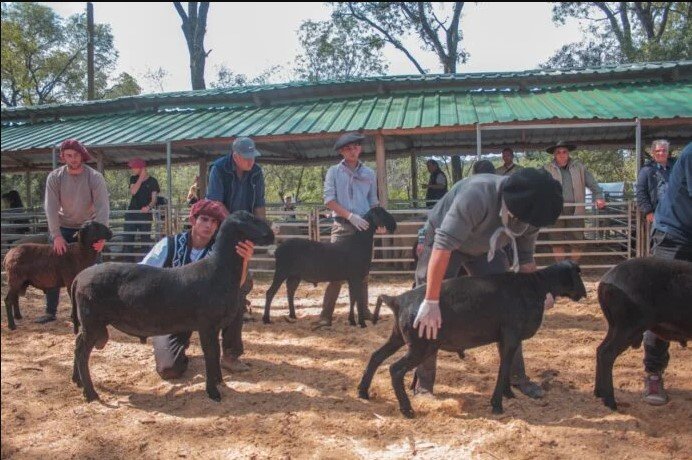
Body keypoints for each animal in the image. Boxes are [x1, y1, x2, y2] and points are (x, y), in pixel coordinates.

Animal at [264, 207, 398, 328]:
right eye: (382, 213)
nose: (394, 225)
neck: (359, 242)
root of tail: (277, 250)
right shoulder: (356, 277)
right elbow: (358, 300)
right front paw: (362, 323)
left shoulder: (351, 279)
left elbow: (352, 299)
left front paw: (352, 321)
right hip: (281, 271)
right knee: (270, 293)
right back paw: (266, 319)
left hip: (294, 276)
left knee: (290, 292)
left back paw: (292, 315)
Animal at [362, 260, 584, 416]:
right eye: (578, 275)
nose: (584, 293)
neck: (537, 286)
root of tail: (398, 299)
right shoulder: (512, 335)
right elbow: (503, 367)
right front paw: (497, 405)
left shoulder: (504, 338)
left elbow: (505, 365)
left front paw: (508, 395)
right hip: (420, 346)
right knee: (395, 369)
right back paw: (407, 410)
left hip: (398, 337)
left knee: (375, 356)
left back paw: (363, 392)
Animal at [596, 258, 692, 410]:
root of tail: (606, 280)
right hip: (629, 326)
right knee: (607, 354)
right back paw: (611, 402)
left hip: (615, 325)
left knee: (600, 350)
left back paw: (598, 393)